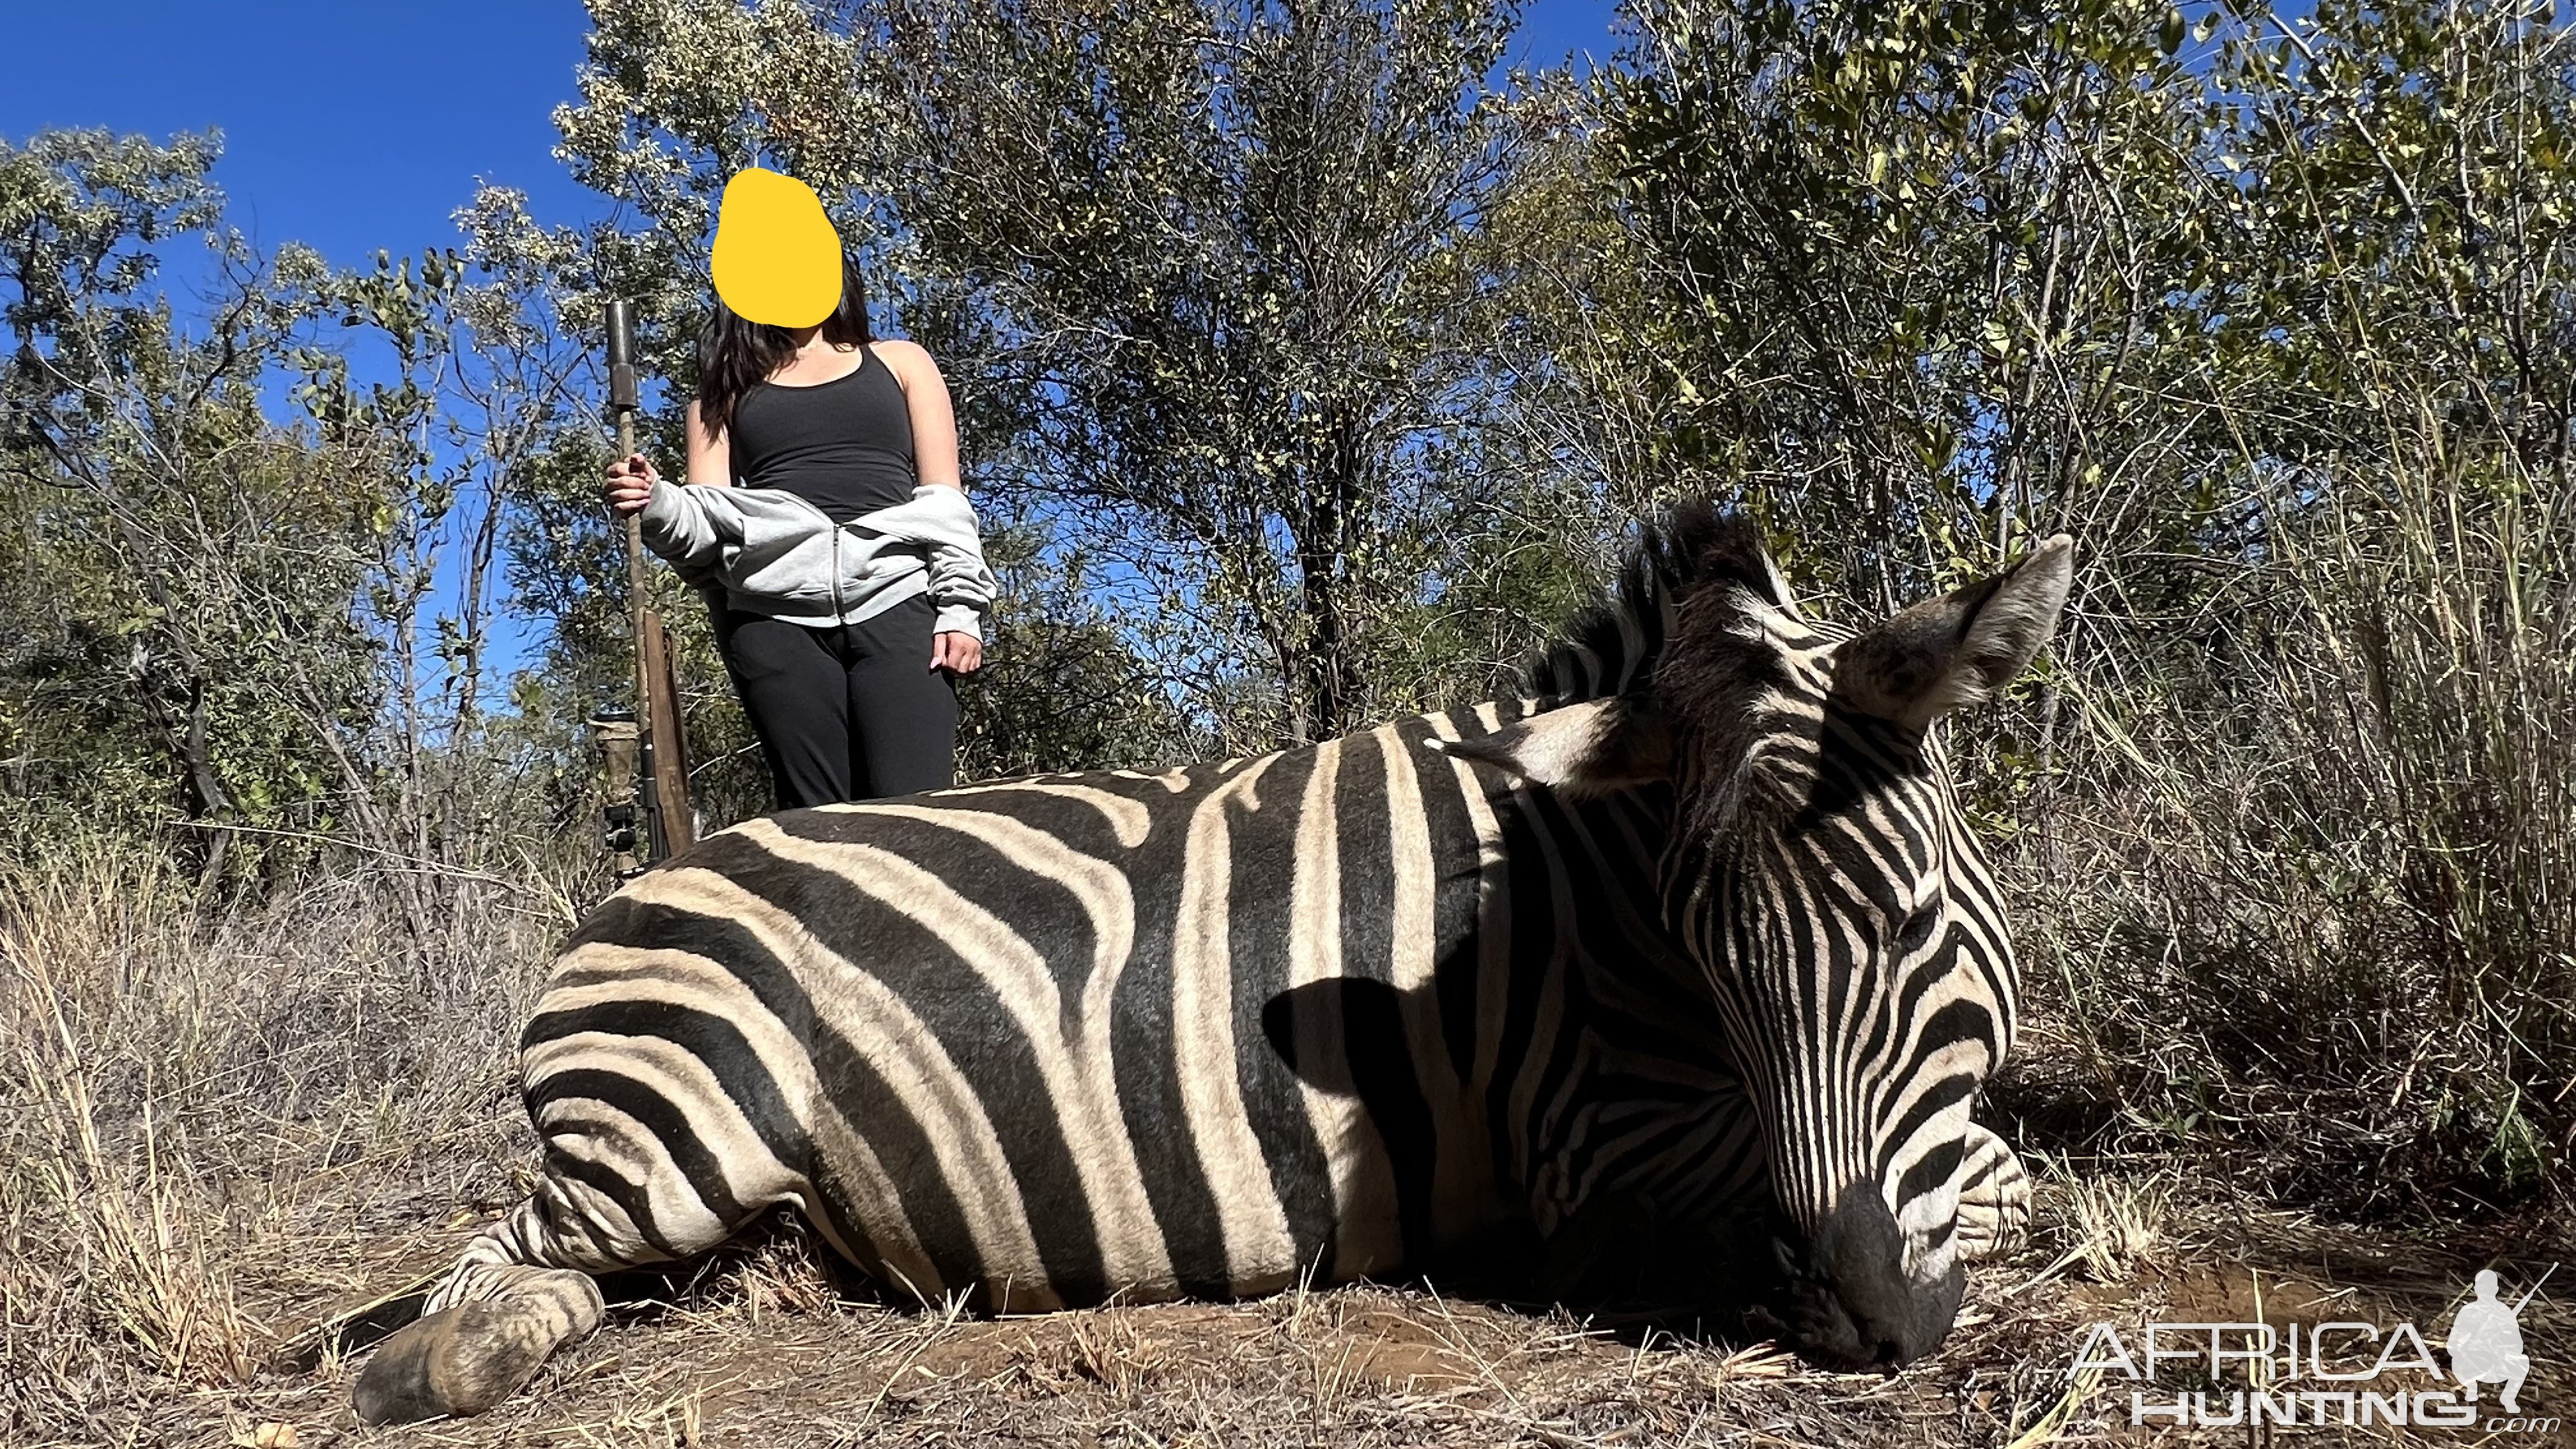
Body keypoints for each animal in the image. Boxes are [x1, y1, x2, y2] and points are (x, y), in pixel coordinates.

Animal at [348, 502, 2071, 1413]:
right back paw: (436, 1366)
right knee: (499, 1258)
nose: (1868, 1322)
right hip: (670, 1142)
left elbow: (1995, 1168)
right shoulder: (1599, 1142)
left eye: (1914, 924)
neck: (1576, 875)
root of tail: (625, 897)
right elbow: (2002, 1177)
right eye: (1719, 966)